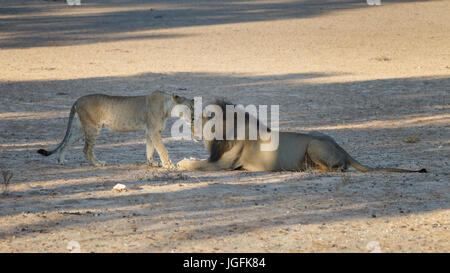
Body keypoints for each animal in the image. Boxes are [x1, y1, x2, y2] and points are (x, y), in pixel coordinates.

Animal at [37, 90, 193, 167]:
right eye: (188, 108)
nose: (193, 118)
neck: (167, 107)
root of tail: (77, 100)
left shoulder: (150, 131)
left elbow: (150, 149)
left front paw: (152, 163)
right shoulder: (154, 131)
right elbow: (162, 149)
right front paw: (168, 164)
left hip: (81, 128)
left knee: (67, 142)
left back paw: (61, 160)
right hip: (93, 128)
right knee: (86, 149)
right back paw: (98, 163)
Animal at [178, 99, 428, 172]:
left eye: (203, 117)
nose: (189, 122)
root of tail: (342, 148)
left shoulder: (224, 164)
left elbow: (197, 164)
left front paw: (183, 163)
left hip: (314, 144)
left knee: (339, 168)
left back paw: (311, 169)